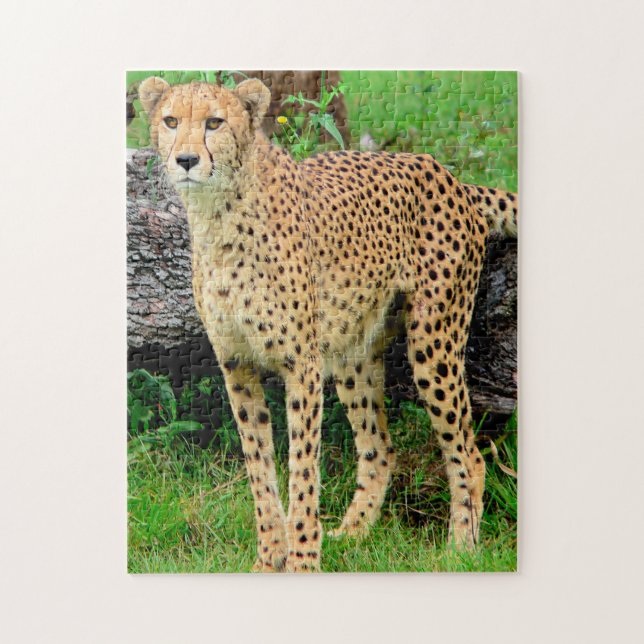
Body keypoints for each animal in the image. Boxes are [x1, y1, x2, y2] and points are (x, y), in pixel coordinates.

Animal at [138, 76, 518, 572]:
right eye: (170, 121)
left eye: (214, 123)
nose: (185, 160)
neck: (217, 214)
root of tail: (447, 174)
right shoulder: (236, 364)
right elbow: (259, 466)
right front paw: (269, 558)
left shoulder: (302, 366)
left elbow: (302, 467)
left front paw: (302, 559)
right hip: (353, 354)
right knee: (380, 448)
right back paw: (352, 535)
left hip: (434, 342)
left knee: (469, 455)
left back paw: (460, 548)